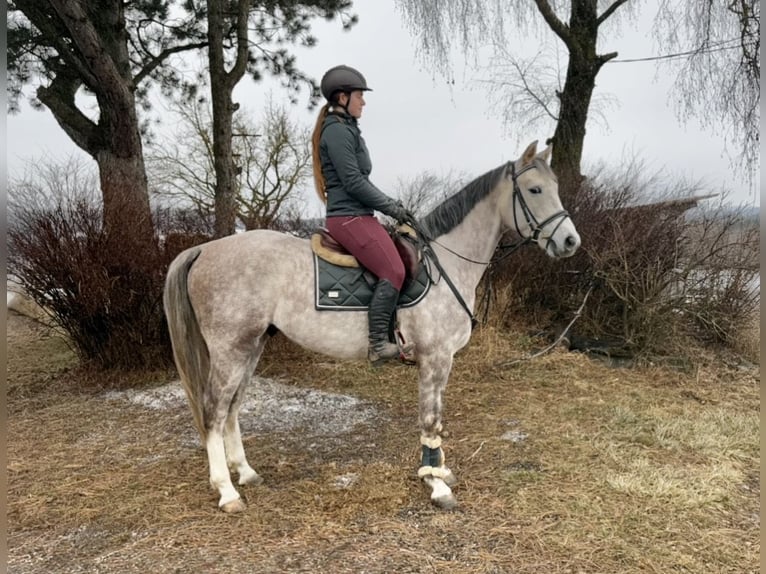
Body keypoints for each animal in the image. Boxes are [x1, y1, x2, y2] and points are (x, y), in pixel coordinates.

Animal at [163, 140, 581, 512]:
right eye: (535, 189)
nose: (570, 241)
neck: (445, 262)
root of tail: (205, 249)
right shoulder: (435, 358)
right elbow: (430, 419)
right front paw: (436, 486)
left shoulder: (442, 361)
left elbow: (437, 418)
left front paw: (439, 472)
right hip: (231, 349)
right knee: (214, 411)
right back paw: (226, 491)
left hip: (251, 346)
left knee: (232, 408)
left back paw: (246, 473)